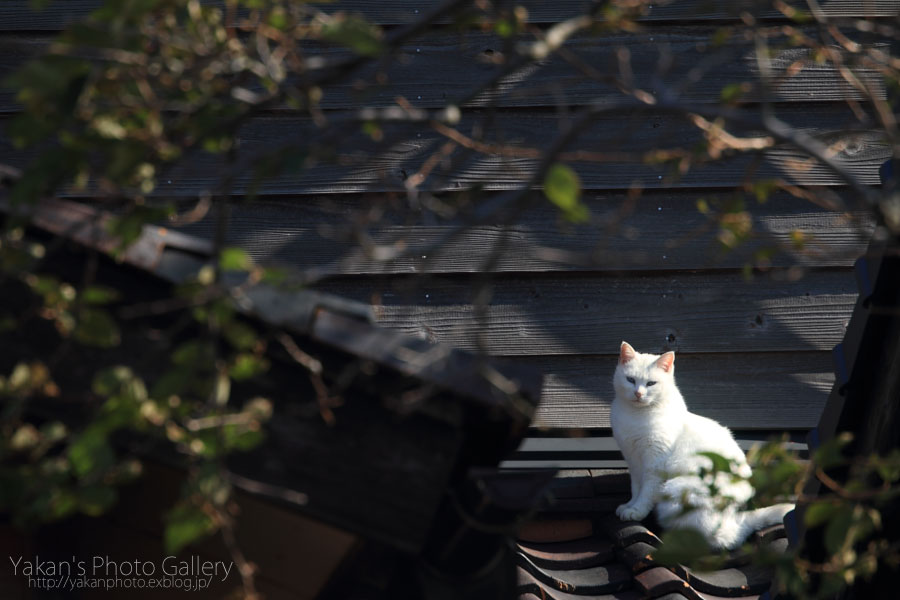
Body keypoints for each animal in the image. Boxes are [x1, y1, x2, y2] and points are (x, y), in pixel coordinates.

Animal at [608, 342, 792, 548]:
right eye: (630, 380)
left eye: (651, 384)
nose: (638, 393)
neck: (635, 416)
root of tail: (743, 520)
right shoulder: (633, 460)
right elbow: (636, 488)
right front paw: (629, 506)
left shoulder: (654, 464)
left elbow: (646, 492)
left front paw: (637, 511)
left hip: (675, 490)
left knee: (719, 538)